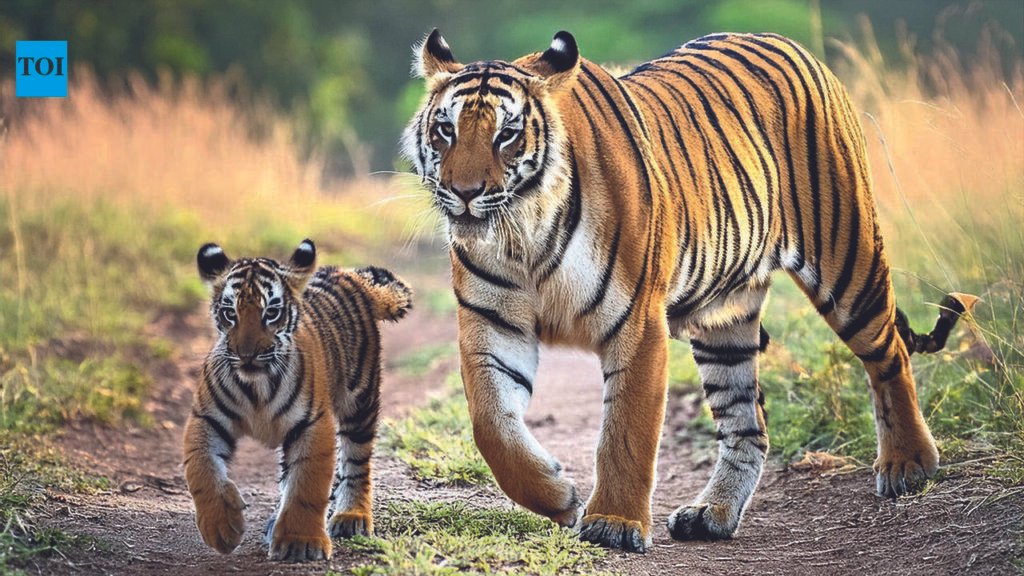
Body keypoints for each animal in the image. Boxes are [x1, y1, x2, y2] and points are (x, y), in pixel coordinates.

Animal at [182, 239, 412, 562]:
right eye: (230, 313)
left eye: (271, 312)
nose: (247, 354)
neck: (257, 384)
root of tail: (349, 274)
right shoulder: (206, 418)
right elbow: (201, 470)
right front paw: (221, 527)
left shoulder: (311, 424)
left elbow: (306, 486)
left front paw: (299, 543)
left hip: (358, 399)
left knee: (356, 461)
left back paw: (351, 517)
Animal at [401, 29, 969, 552]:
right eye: (446, 130)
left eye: (508, 134)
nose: (464, 193)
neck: (523, 237)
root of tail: (791, 43)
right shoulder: (491, 325)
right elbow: (491, 426)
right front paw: (559, 497)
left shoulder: (637, 325)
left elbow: (626, 430)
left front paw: (613, 524)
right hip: (725, 322)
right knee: (748, 425)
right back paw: (710, 514)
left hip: (847, 260)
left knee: (888, 355)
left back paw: (908, 464)